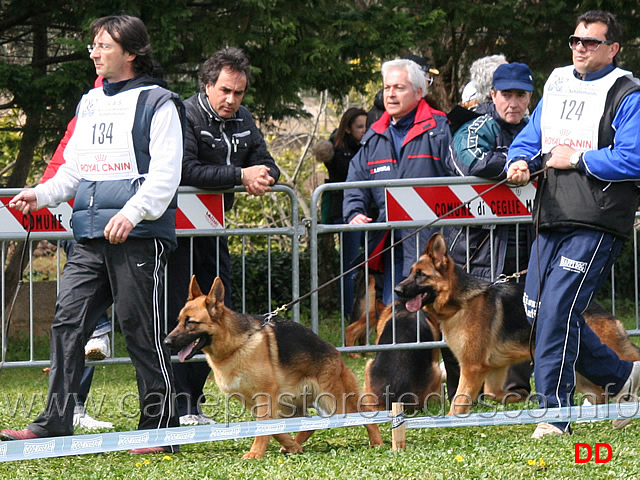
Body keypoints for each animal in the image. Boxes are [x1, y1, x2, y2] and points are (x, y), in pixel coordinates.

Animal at [165, 276, 382, 460]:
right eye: (178, 321)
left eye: (191, 322)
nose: (166, 342)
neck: (236, 346)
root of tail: (334, 350)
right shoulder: (254, 403)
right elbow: (273, 429)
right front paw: (291, 446)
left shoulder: (264, 398)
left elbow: (265, 429)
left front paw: (255, 453)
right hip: (290, 405)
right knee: (309, 424)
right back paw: (293, 445)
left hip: (335, 400)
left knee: (365, 413)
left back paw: (377, 442)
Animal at [396, 233, 640, 416]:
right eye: (410, 273)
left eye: (421, 275)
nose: (397, 290)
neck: (461, 302)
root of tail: (603, 311)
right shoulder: (493, 368)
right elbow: (493, 393)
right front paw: (518, 397)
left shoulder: (472, 368)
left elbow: (458, 403)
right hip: (580, 371)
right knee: (599, 394)